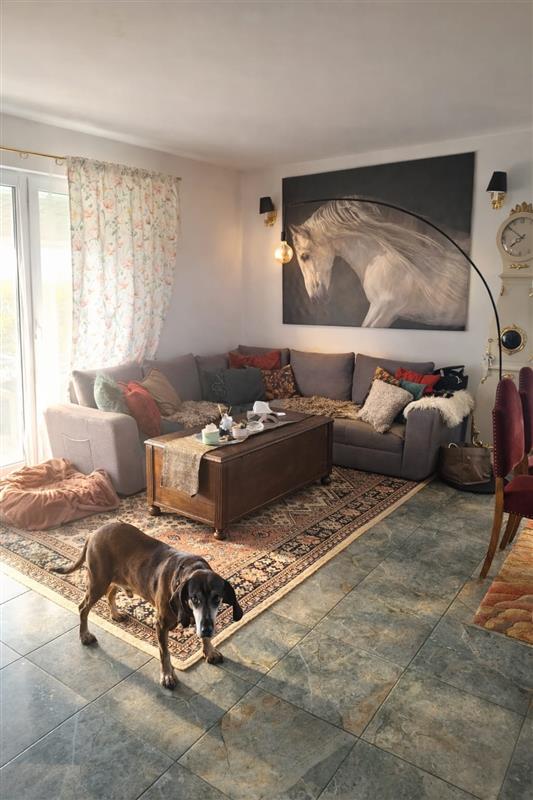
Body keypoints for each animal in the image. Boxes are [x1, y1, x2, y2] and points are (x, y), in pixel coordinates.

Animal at [51, 521, 243, 689]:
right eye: (194, 598)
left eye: (217, 598)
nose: (207, 629)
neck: (188, 569)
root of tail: (93, 533)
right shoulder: (161, 624)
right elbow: (164, 652)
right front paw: (167, 675)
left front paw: (209, 650)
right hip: (98, 581)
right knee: (83, 608)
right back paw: (84, 635)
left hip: (115, 578)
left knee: (110, 593)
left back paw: (115, 614)